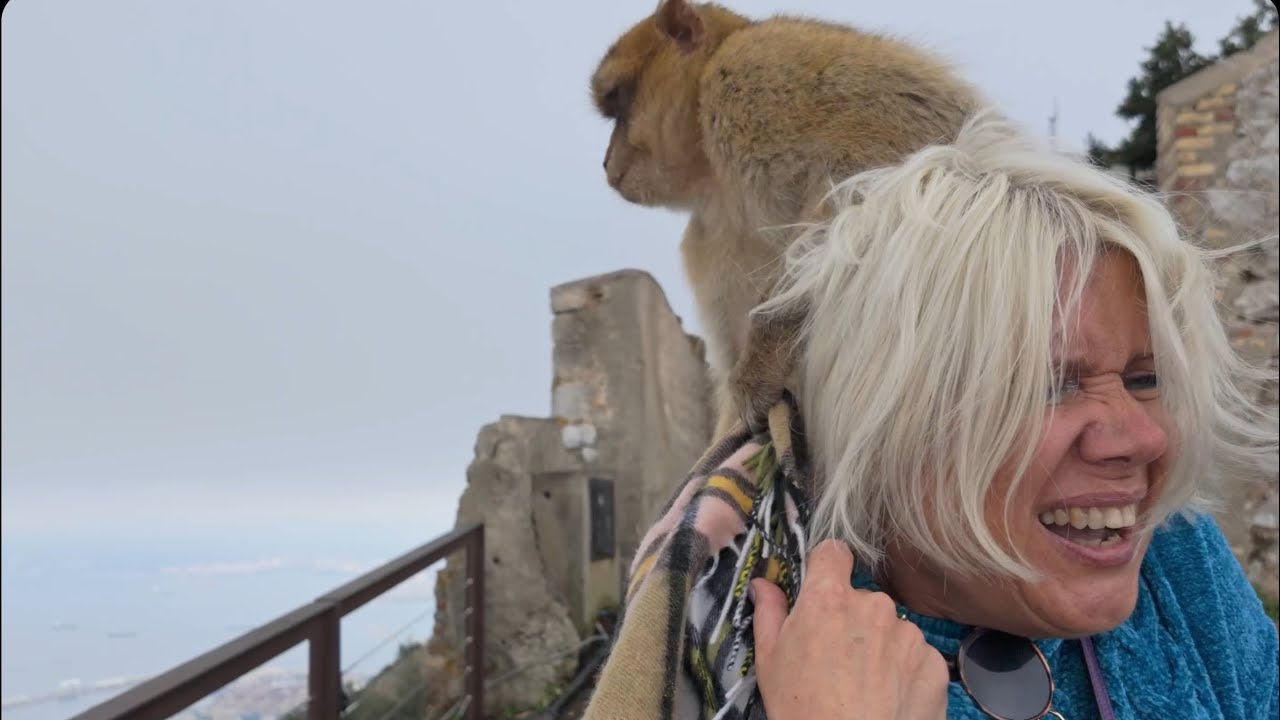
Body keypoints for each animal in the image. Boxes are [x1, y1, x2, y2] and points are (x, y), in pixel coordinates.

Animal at [591, 0, 985, 438]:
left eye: (618, 102)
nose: (606, 162)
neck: (715, 174)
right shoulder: (704, 242)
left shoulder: (756, 72)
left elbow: (879, 154)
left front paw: (760, 362)